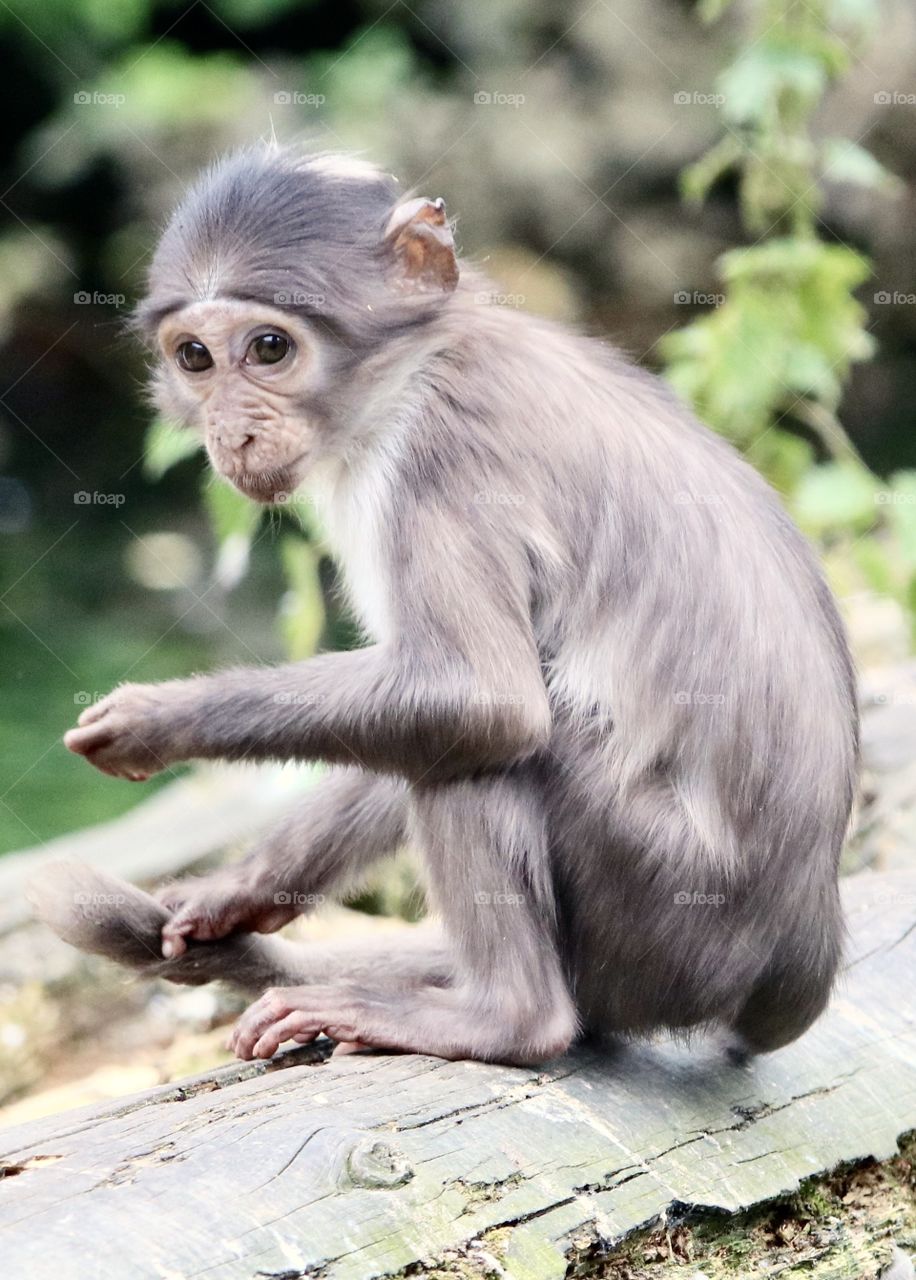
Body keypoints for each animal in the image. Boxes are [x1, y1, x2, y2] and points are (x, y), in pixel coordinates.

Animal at [46, 144, 857, 1067]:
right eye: (194, 359)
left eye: (267, 347)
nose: (232, 433)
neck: (419, 365)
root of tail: (799, 956)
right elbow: (411, 723)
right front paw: (242, 889)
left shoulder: (438, 456)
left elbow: (480, 702)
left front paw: (156, 722)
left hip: (673, 913)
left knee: (506, 746)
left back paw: (504, 1015)